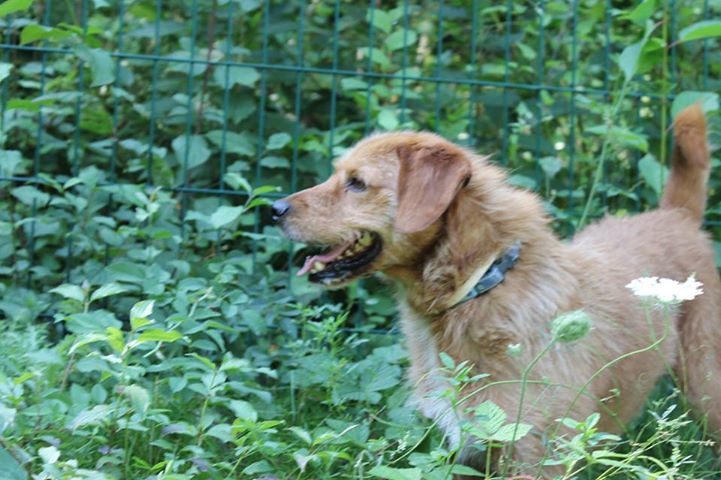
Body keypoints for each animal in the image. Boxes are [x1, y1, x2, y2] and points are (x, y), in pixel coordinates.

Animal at [272, 105, 720, 476]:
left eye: (357, 183)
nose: (273, 209)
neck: (482, 285)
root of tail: (675, 216)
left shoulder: (535, 457)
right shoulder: (463, 453)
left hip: (707, 387)